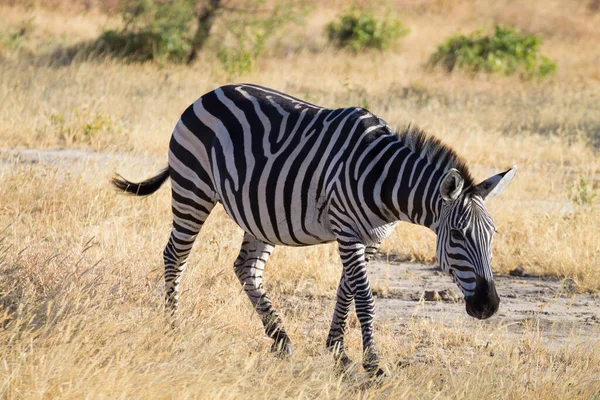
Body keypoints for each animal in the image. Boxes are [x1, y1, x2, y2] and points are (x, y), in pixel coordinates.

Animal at [112, 83, 516, 376]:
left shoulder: (371, 239)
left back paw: (280, 339)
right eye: (459, 235)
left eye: (492, 236)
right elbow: (364, 298)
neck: (382, 180)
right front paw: (372, 365)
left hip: (260, 213)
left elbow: (346, 291)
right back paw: (173, 327)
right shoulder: (347, 230)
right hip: (191, 187)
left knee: (246, 269)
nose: (489, 306)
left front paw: (338, 352)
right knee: (175, 255)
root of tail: (209, 93)